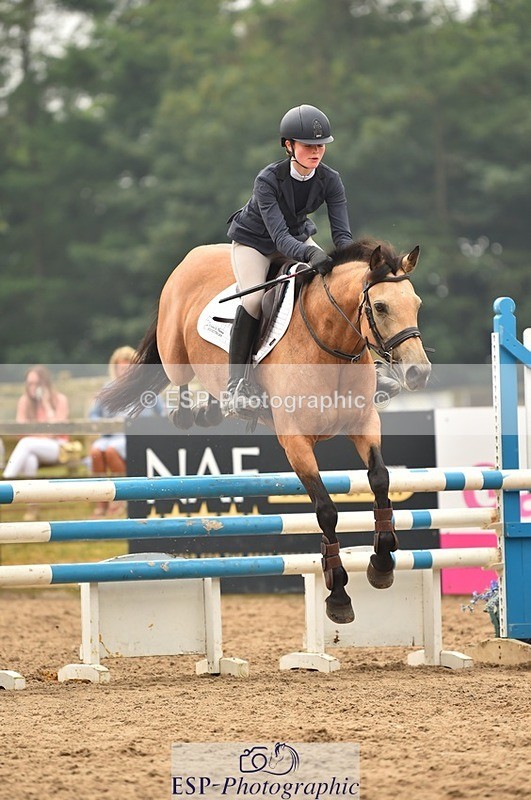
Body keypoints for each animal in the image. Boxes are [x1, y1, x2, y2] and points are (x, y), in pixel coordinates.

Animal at [100, 238, 431, 624]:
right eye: (380, 306)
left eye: (417, 304)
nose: (418, 373)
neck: (330, 345)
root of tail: (193, 255)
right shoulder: (296, 443)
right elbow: (326, 510)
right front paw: (338, 595)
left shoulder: (364, 424)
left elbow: (380, 479)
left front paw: (382, 563)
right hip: (175, 354)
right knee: (181, 383)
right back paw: (193, 412)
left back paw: (215, 408)